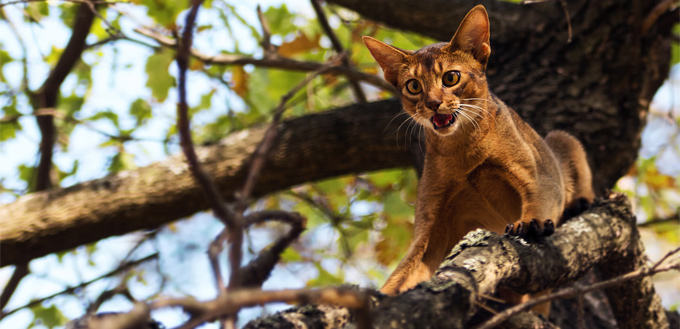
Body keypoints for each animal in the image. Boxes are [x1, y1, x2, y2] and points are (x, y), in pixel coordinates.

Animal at [364, 3, 592, 306]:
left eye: (451, 77)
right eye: (413, 85)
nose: (433, 103)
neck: (464, 150)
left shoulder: (539, 176)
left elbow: (539, 201)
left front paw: (530, 224)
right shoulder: (431, 225)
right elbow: (406, 269)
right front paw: (380, 297)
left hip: (560, 139)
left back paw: (581, 203)